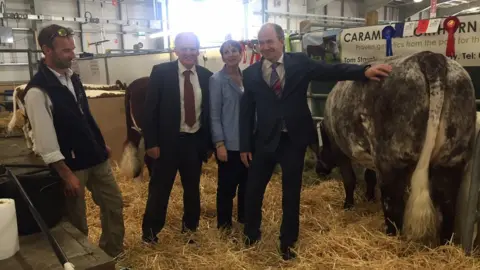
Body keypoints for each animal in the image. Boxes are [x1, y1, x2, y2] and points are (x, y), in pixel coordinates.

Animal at [316, 50, 476, 247]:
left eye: (320, 149)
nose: (319, 170)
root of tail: (429, 56)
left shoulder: (341, 152)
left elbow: (350, 179)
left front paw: (348, 205)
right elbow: (369, 176)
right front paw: (369, 197)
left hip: (391, 161)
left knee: (393, 203)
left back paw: (390, 237)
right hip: (452, 158)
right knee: (447, 203)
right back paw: (444, 244)